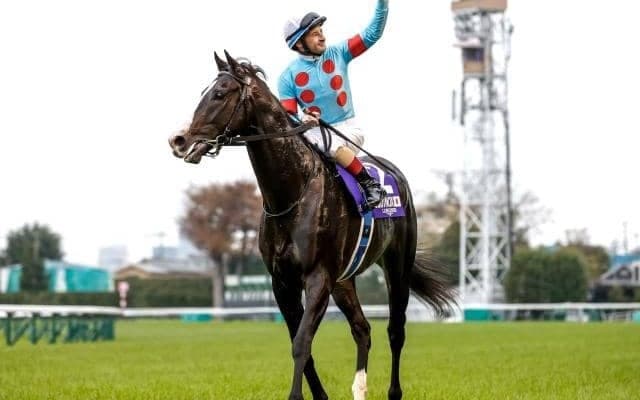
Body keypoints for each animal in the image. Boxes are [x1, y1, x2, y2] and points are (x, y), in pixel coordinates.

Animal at [169, 50, 456, 400]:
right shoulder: (283, 282)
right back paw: (359, 389)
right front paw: (320, 396)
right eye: (204, 92)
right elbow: (300, 344)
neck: (292, 192)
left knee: (395, 329)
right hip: (344, 280)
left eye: (220, 94)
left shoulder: (318, 277)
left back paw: (393, 392)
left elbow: (302, 343)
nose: (178, 139)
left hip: (397, 265)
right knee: (362, 328)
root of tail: (394, 174)